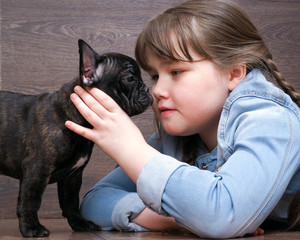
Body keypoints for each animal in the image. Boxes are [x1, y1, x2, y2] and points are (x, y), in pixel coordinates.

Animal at [0, 38, 152, 237]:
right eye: (130, 79)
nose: (148, 89)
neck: (72, 116)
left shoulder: (72, 177)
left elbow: (71, 202)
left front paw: (80, 223)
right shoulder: (36, 170)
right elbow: (30, 201)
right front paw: (31, 227)